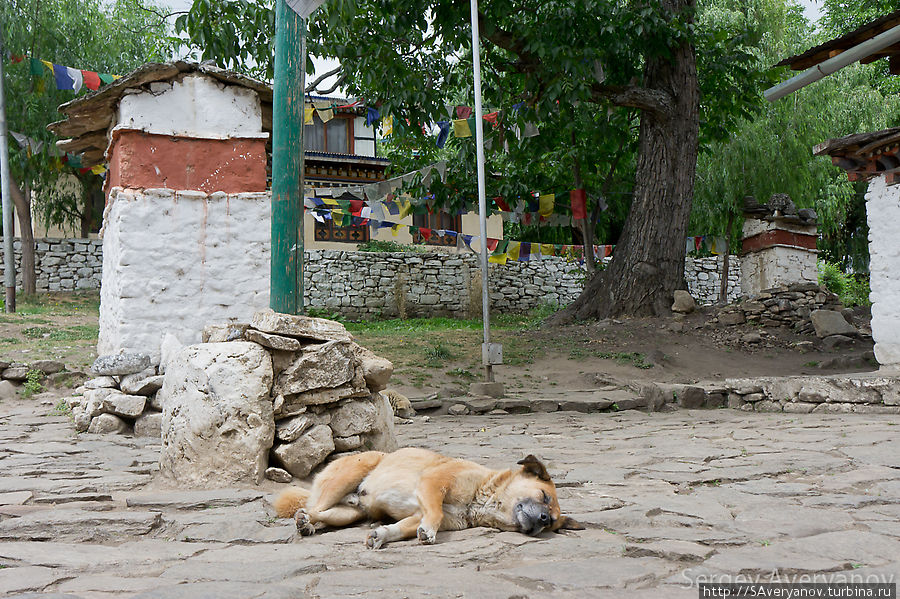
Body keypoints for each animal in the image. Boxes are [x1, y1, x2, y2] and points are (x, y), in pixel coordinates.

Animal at [274, 448, 584, 552]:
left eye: (552, 522)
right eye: (544, 496)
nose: (543, 519)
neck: (478, 499)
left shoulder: (416, 514)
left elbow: (400, 527)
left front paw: (381, 535)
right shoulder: (433, 483)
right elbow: (434, 513)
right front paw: (430, 533)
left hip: (350, 514)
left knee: (318, 513)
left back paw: (307, 523)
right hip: (345, 478)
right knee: (313, 506)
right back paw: (305, 522)